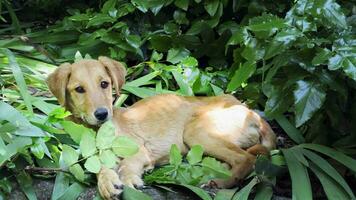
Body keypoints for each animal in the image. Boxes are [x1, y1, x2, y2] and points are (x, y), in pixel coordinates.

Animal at [46, 56, 276, 200]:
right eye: (79, 89)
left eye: (104, 84)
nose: (102, 114)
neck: (97, 131)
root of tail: (251, 111)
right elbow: (100, 167)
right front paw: (107, 182)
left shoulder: (139, 150)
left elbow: (127, 164)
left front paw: (129, 179)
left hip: (196, 132)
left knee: (246, 158)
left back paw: (221, 183)